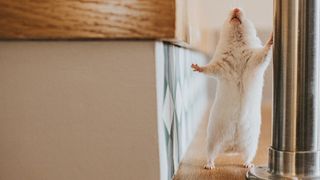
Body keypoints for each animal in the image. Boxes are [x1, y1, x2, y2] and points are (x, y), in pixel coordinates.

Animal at [191, 7, 274, 169]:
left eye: (246, 14)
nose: (236, 8)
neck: (236, 41)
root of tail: (231, 148)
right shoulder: (220, 63)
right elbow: (209, 68)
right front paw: (195, 66)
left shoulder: (254, 58)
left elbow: (264, 53)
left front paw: (273, 36)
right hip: (212, 139)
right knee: (211, 154)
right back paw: (209, 166)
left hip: (252, 144)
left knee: (247, 156)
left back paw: (248, 165)